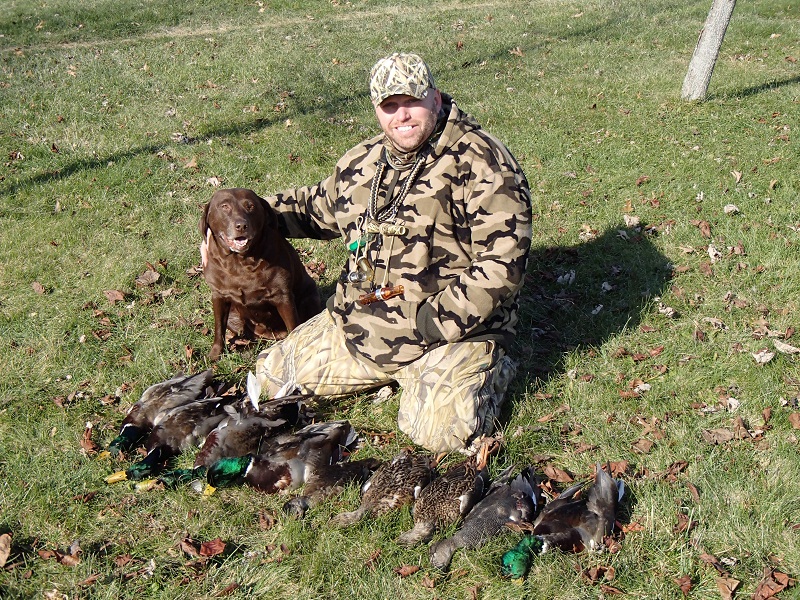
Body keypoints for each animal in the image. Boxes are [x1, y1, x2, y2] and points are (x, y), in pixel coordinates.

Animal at [198, 188, 320, 358]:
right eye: (224, 206)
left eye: (250, 206)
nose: (241, 226)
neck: (240, 263)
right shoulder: (219, 296)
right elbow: (218, 328)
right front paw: (215, 354)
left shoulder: (283, 297)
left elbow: (294, 326)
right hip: (234, 316)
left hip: (310, 299)